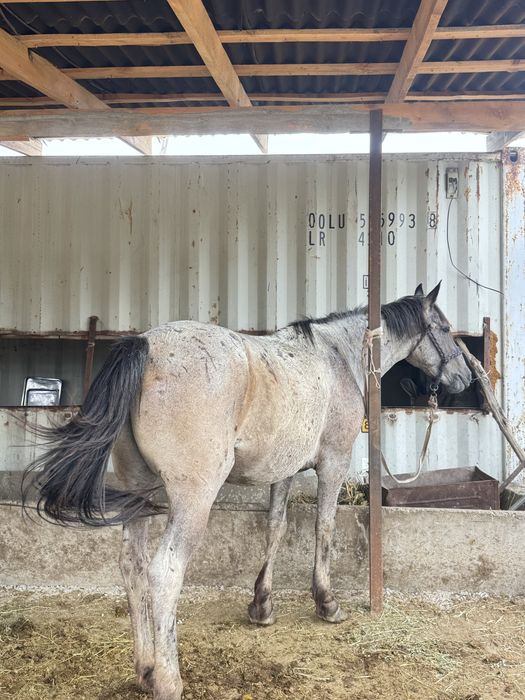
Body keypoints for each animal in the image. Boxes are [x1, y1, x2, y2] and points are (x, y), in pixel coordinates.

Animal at [23, 282, 471, 700]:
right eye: (445, 328)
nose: (464, 379)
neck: (337, 357)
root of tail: (146, 345)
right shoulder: (333, 464)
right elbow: (324, 528)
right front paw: (326, 602)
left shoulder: (283, 471)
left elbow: (275, 528)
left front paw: (262, 605)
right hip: (192, 500)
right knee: (164, 573)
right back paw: (168, 680)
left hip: (137, 490)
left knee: (133, 567)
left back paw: (146, 669)